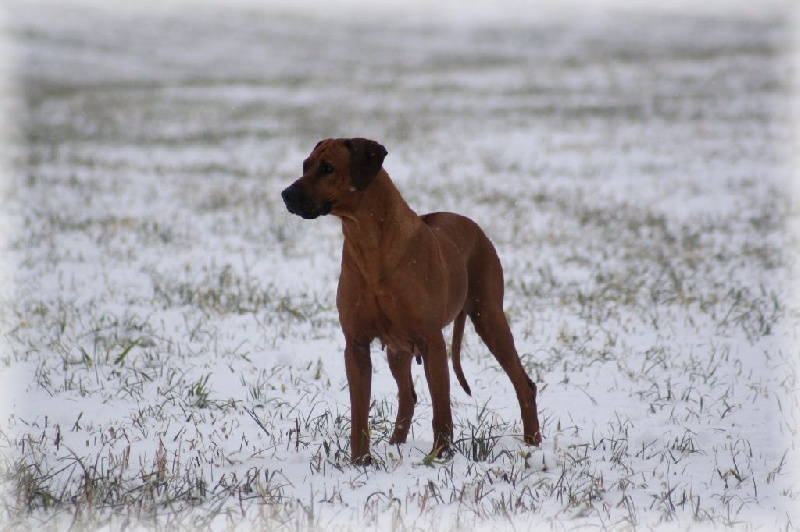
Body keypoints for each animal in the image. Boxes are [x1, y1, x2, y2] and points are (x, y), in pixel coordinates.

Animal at [282, 139, 544, 464]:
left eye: (327, 168)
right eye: (305, 165)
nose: (286, 195)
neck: (369, 245)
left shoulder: (432, 341)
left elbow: (442, 409)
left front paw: (440, 457)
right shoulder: (355, 344)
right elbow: (359, 411)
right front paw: (360, 461)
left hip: (490, 317)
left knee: (524, 384)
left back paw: (532, 444)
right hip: (398, 348)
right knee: (408, 396)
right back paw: (395, 444)